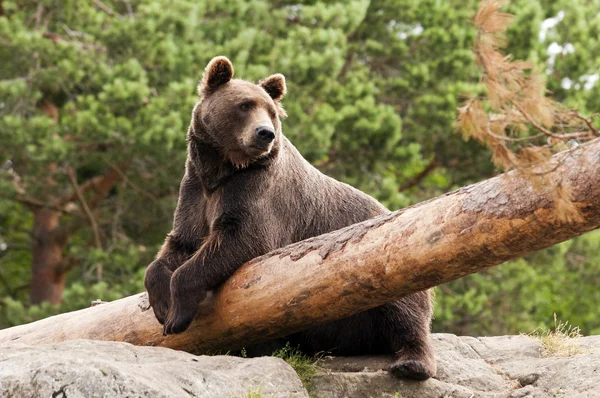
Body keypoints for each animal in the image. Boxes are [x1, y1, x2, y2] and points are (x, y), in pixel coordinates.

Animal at [145, 55, 436, 380]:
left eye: (271, 112)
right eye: (244, 105)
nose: (265, 134)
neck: (223, 169)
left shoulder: (256, 192)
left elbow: (240, 238)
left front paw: (176, 316)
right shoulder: (196, 191)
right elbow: (179, 244)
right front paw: (162, 304)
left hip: (389, 252)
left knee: (403, 307)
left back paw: (411, 363)